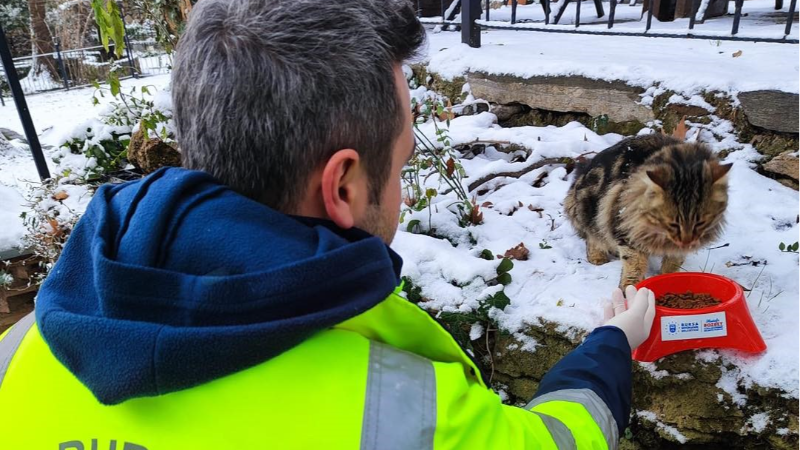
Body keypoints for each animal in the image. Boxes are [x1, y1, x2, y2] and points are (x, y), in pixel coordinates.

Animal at [564, 134, 732, 288]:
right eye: (672, 223)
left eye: (700, 223)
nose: (685, 241)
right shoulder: (626, 226)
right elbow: (634, 263)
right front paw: (629, 288)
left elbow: (673, 261)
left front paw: (670, 277)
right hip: (587, 210)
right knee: (592, 237)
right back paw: (598, 258)